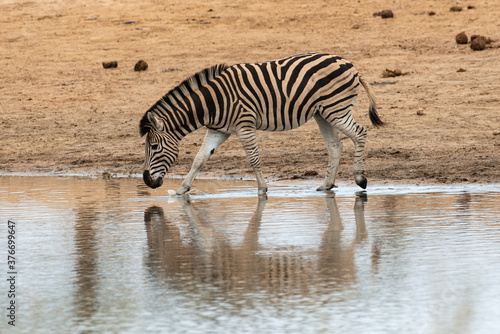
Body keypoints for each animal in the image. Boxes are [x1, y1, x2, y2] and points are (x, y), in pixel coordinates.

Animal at [141, 52, 382, 196]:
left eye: (154, 147)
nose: (147, 181)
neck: (212, 103)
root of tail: (350, 64)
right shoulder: (218, 130)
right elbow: (199, 159)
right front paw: (181, 191)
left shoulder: (245, 126)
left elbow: (253, 158)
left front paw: (262, 190)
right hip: (322, 113)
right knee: (335, 146)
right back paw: (326, 185)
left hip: (336, 109)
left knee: (360, 133)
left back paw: (360, 178)